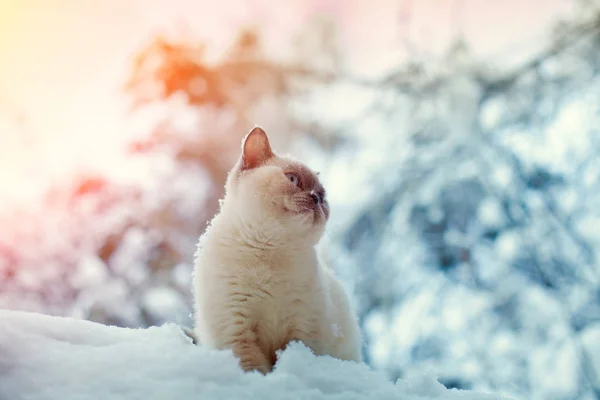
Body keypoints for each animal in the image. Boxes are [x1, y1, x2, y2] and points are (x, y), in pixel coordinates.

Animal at [192, 126, 360, 374]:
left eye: (322, 197)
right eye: (292, 179)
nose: (315, 198)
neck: (270, 250)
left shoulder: (302, 330)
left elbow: (292, 359)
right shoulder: (237, 332)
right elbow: (255, 369)